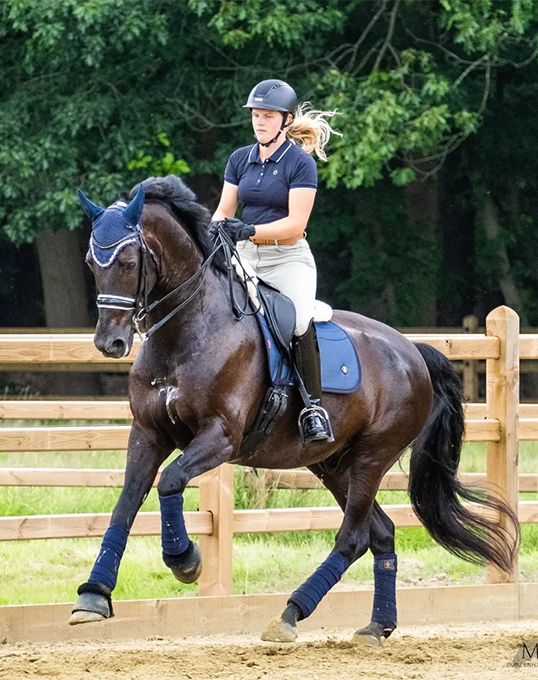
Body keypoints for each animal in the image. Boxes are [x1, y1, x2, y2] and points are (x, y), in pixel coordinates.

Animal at [70, 175, 519, 644]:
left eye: (127, 260)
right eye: (91, 261)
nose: (109, 343)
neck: (187, 330)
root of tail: (412, 351)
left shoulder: (219, 437)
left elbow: (171, 481)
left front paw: (184, 560)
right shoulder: (148, 433)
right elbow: (126, 503)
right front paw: (94, 595)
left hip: (371, 456)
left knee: (353, 537)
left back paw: (290, 613)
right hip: (333, 465)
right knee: (380, 533)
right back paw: (376, 625)